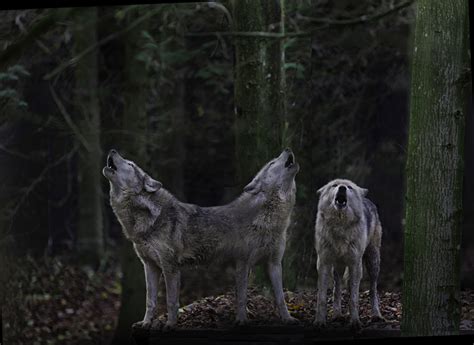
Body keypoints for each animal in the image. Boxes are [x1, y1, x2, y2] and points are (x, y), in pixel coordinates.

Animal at [103, 147, 300, 328]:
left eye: (130, 164)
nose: (112, 150)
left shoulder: (270, 263)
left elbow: (278, 297)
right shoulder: (150, 266)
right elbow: (150, 300)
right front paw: (146, 323)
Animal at [312, 179, 384, 330]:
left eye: (350, 187)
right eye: (334, 185)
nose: (342, 187)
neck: (340, 225)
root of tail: (366, 199)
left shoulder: (355, 264)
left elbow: (354, 298)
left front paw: (355, 322)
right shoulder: (323, 263)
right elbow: (322, 298)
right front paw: (319, 322)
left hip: (372, 262)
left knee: (372, 289)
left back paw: (376, 315)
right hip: (337, 268)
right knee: (337, 289)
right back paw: (337, 315)